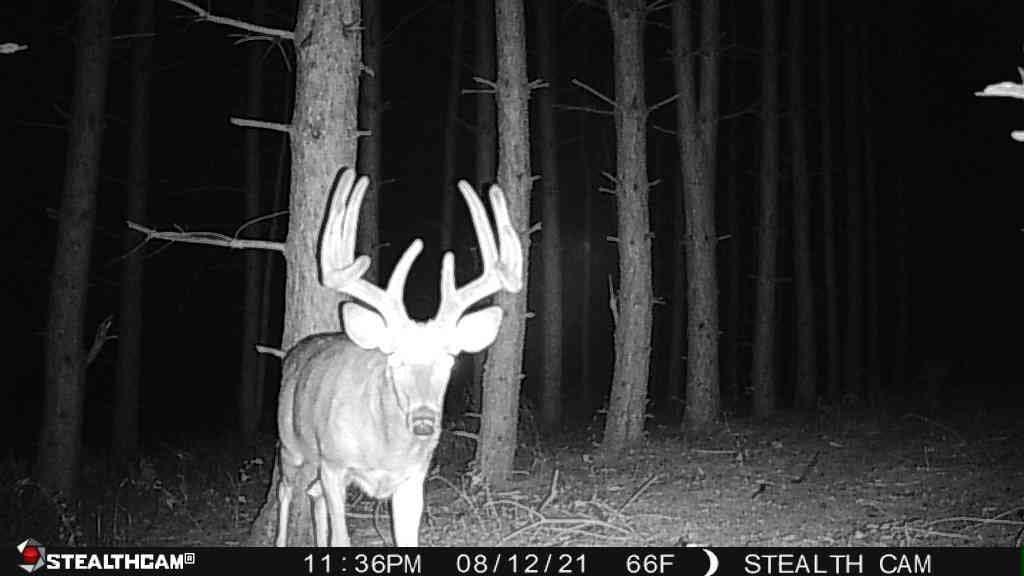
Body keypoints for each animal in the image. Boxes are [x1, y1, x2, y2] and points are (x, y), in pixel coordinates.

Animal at [275, 168, 523, 547]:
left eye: (449, 361)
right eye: (395, 360)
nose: (423, 422)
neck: (386, 449)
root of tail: (298, 351)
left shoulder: (413, 477)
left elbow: (407, 539)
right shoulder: (334, 463)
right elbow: (342, 539)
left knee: (312, 496)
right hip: (292, 445)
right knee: (286, 492)